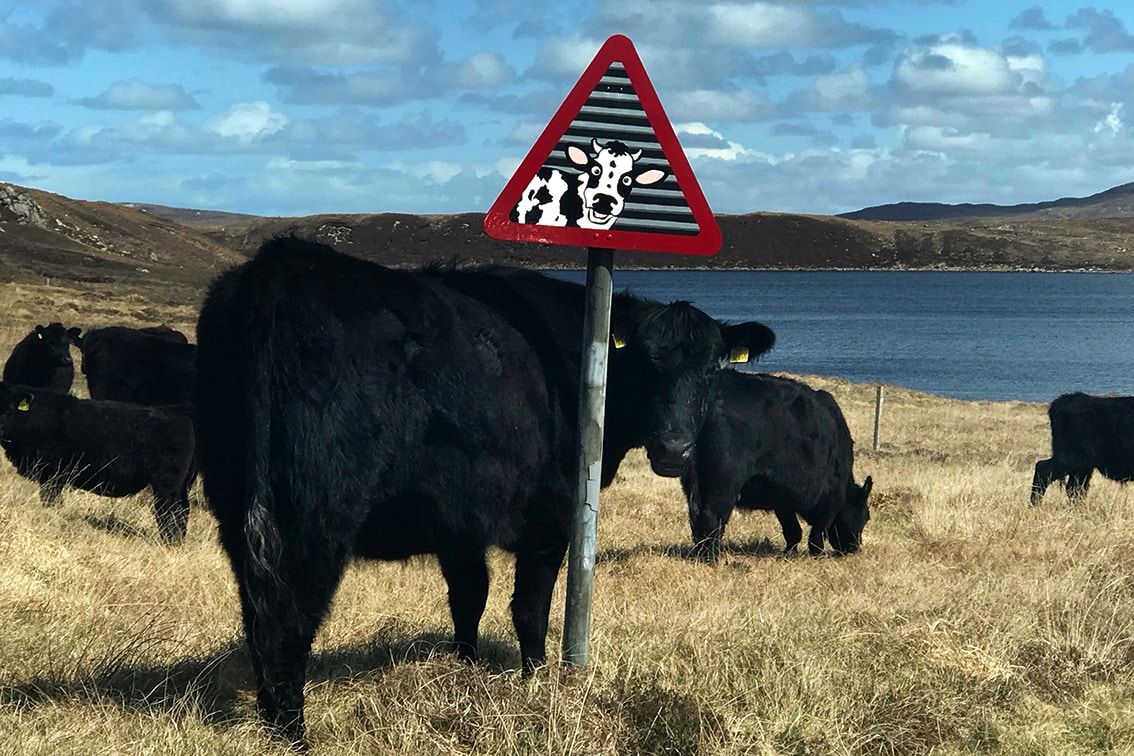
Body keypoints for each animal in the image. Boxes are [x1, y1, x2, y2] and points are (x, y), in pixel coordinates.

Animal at [0, 385, 197, 544]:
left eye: (8, 410)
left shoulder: (53, 474)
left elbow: (51, 500)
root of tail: (179, 414)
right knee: (182, 511)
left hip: (167, 485)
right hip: (182, 486)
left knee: (170, 511)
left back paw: (169, 543)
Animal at [197, 236, 780, 738]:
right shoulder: (550, 517)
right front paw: (535, 682)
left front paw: (466, 673)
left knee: (256, 617)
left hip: (235, 509)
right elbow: (530, 609)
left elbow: (468, 597)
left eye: (712, 368)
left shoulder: (459, 520)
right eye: (645, 360)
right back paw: (292, 734)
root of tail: (282, 262)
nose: (675, 448)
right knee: (287, 622)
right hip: (310, 515)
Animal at [675, 371, 870, 562]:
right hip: (724, 481)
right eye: (865, 516)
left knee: (696, 515)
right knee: (711, 516)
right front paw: (818, 555)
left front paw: (788, 553)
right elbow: (816, 533)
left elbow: (793, 530)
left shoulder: (782, 499)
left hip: (693, 480)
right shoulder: (830, 497)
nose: (854, 548)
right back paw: (712, 557)